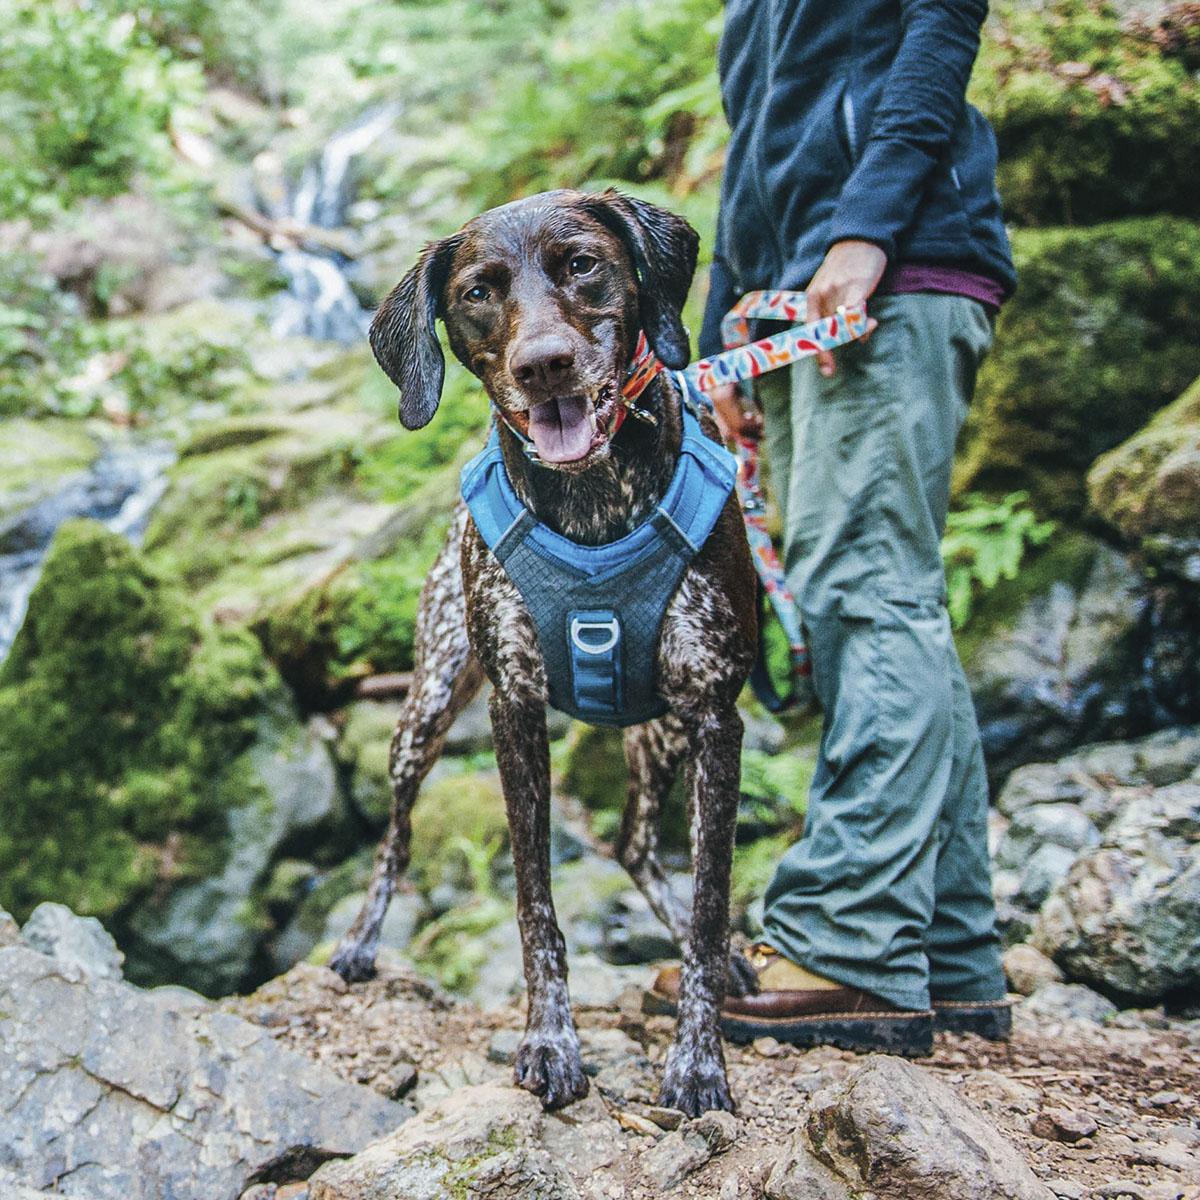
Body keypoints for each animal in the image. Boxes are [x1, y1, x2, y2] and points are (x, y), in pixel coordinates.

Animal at [326, 187, 758, 1113]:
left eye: (582, 264)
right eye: (477, 293)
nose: (545, 366)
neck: (595, 498)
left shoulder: (715, 714)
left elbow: (710, 904)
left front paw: (698, 1059)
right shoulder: (513, 711)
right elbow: (535, 902)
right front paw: (551, 1041)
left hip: (660, 732)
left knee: (635, 842)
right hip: (427, 707)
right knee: (396, 839)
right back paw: (360, 940)